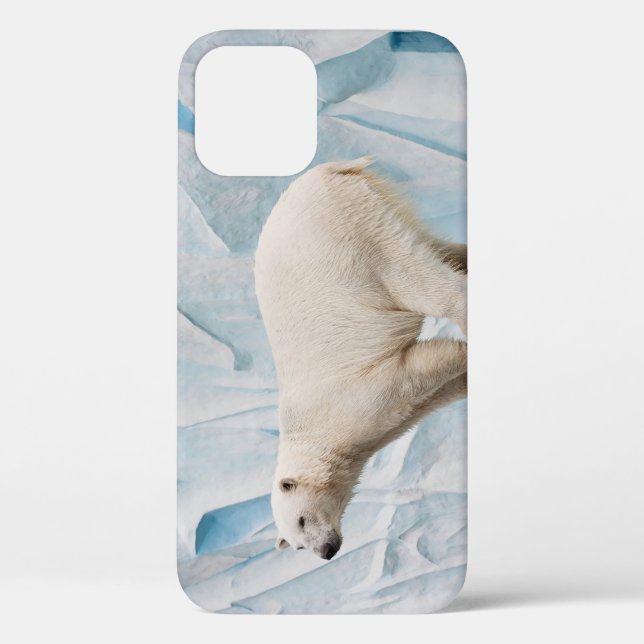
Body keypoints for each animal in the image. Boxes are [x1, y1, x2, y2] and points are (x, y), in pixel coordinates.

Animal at [254, 157, 467, 560]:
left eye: (301, 520)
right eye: (297, 546)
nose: (326, 552)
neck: (317, 434)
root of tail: (329, 169)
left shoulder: (357, 398)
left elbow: (420, 365)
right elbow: (433, 393)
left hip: (350, 241)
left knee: (420, 281)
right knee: (440, 249)